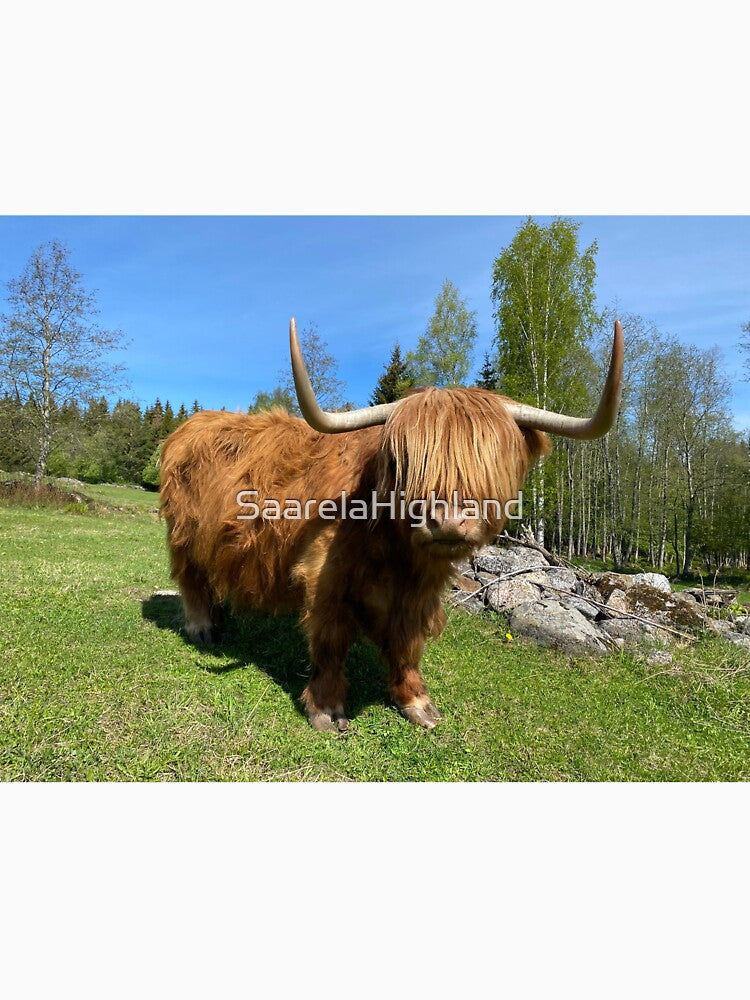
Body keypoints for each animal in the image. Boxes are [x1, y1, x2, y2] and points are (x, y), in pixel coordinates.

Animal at [160, 319, 623, 732]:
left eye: (490, 461)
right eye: (405, 461)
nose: (448, 520)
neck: (394, 548)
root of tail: (192, 423)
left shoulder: (418, 592)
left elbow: (406, 645)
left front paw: (417, 703)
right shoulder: (325, 577)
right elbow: (330, 641)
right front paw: (326, 709)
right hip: (182, 534)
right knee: (190, 578)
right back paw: (203, 628)